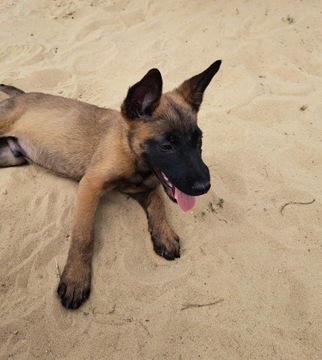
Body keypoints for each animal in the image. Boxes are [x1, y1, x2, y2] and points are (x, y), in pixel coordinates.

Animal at [0, 59, 221, 310]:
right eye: (167, 146)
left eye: (198, 140)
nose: (204, 186)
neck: (131, 152)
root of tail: (22, 95)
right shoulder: (90, 185)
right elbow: (84, 235)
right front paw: (76, 278)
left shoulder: (139, 188)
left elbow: (158, 204)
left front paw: (163, 234)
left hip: (11, 157)